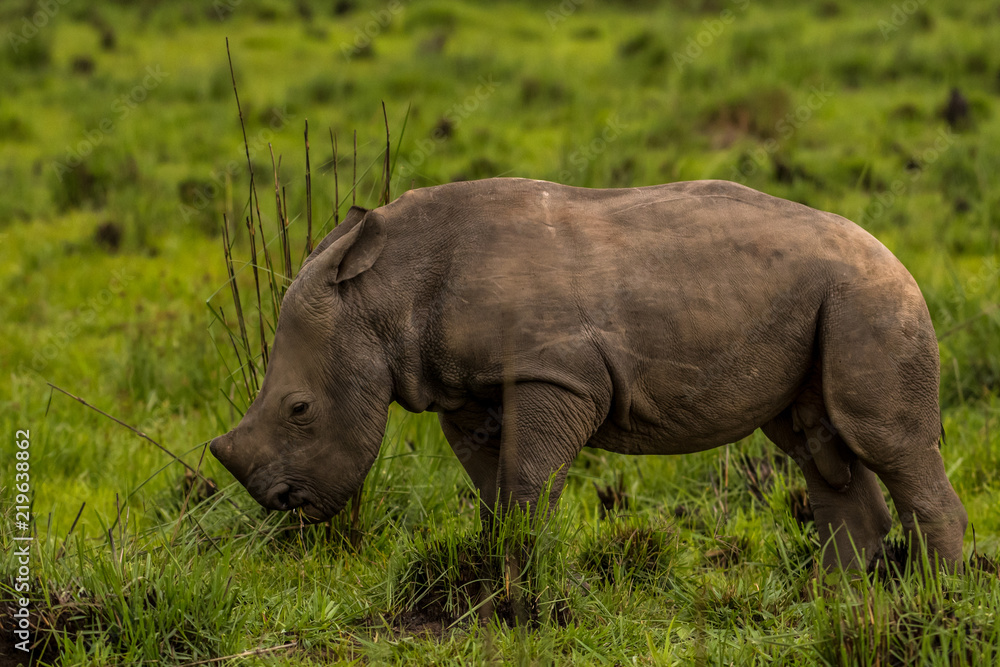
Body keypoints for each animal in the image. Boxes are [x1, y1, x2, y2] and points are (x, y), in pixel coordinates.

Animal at [210, 178, 967, 570]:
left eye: (301, 409)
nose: (281, 502)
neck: (387, 290)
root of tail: (895, 256)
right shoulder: (466, 388)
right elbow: (492, 484)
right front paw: (499, 569)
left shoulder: (554, 374)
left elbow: (525, 476)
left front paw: (523, 585)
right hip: (833, 298)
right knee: (815, 442)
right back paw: (839, 600)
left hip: (870, 297)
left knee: (883, 439)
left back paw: (938, 602)